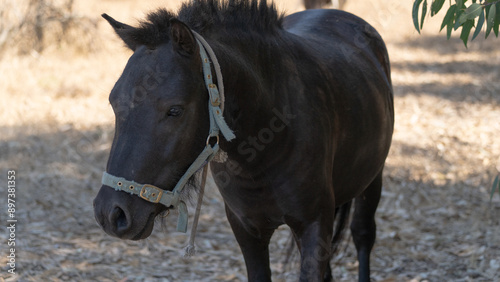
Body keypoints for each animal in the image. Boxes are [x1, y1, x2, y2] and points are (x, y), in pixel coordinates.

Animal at [92, 1, 392, 280]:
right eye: (114, 103)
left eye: (174, 110)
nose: (111, 213)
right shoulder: (247, 230)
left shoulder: (313, 224)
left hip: (372, 181)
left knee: (363, 234)